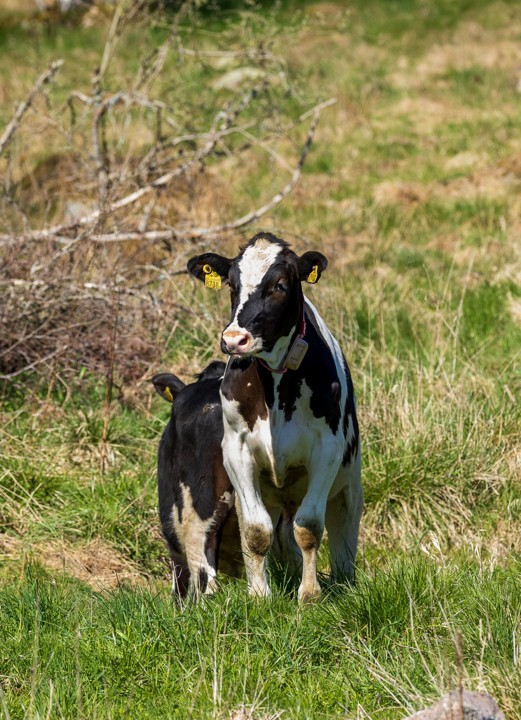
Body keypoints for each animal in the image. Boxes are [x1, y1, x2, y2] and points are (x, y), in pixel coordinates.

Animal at [187, 232, 362, 602]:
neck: (276, 388)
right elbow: (256, 532)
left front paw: (309, 595)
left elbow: (309, 527)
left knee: (342, 533)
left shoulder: (326, 451)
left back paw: (341, 583)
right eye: (232, 284)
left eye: (280, 285)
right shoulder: (236, 450)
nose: (234, 339)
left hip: (348, 486)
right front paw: (259, 595)